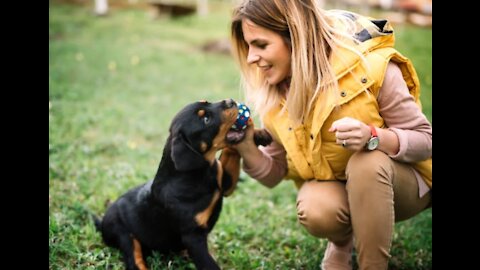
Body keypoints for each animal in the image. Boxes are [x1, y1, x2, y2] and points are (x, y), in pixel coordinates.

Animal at [94, 99, 272, 270]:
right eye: (206, 120)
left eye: (207, 102)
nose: (231, 101)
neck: (198, 172)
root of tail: (102, 222)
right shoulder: (193, 237)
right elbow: (209, 265)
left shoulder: (225, 184)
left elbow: (231, 151)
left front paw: (257, 134)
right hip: (124, 234)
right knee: (134, 261)